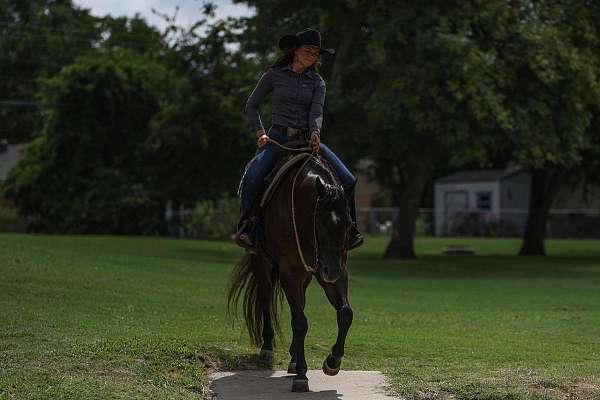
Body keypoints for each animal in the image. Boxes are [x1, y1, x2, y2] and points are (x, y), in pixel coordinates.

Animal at [227, 155, 354, 392]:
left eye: (349, 224)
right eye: (320, 222)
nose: (331, 272)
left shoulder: (337, 271)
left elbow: (345, 314)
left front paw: (333, 361)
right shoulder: (289, 272)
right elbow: (299, 322)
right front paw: (302, 376)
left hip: (306, 276)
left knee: (300, 304)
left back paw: (294, 359)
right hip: (261, 262)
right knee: (266, 299)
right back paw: (267, 349)